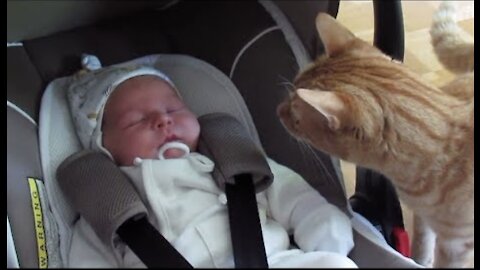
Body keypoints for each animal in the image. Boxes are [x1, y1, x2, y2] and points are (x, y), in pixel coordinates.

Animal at [278, 5, 472, 268]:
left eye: (296, 118)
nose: (278, 111)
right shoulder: (424, 219)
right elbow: (423, 241)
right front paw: (419, 259)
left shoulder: (456, 247)